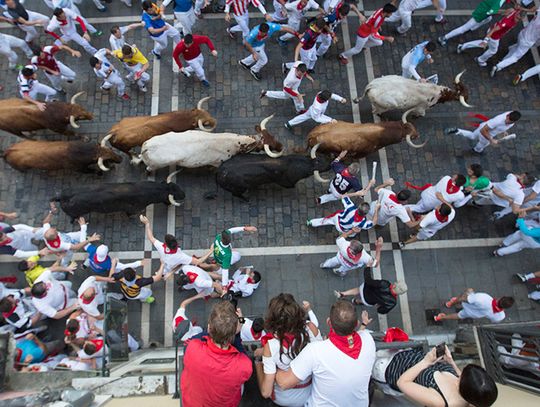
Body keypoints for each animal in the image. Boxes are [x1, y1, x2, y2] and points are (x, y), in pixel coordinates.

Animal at [51, 178, 186, 220]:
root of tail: (60, 196)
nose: (184, 194)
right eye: (173, 194)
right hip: (74, 213)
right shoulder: (133, 209)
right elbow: (130, 214)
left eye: (176, 186)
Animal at [135, 115, 284, 172]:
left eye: (271, 135)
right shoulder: (217, 162)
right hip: (155, 165)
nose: (281, 146)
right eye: (268, 145)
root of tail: (147, 147)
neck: (233, 142)